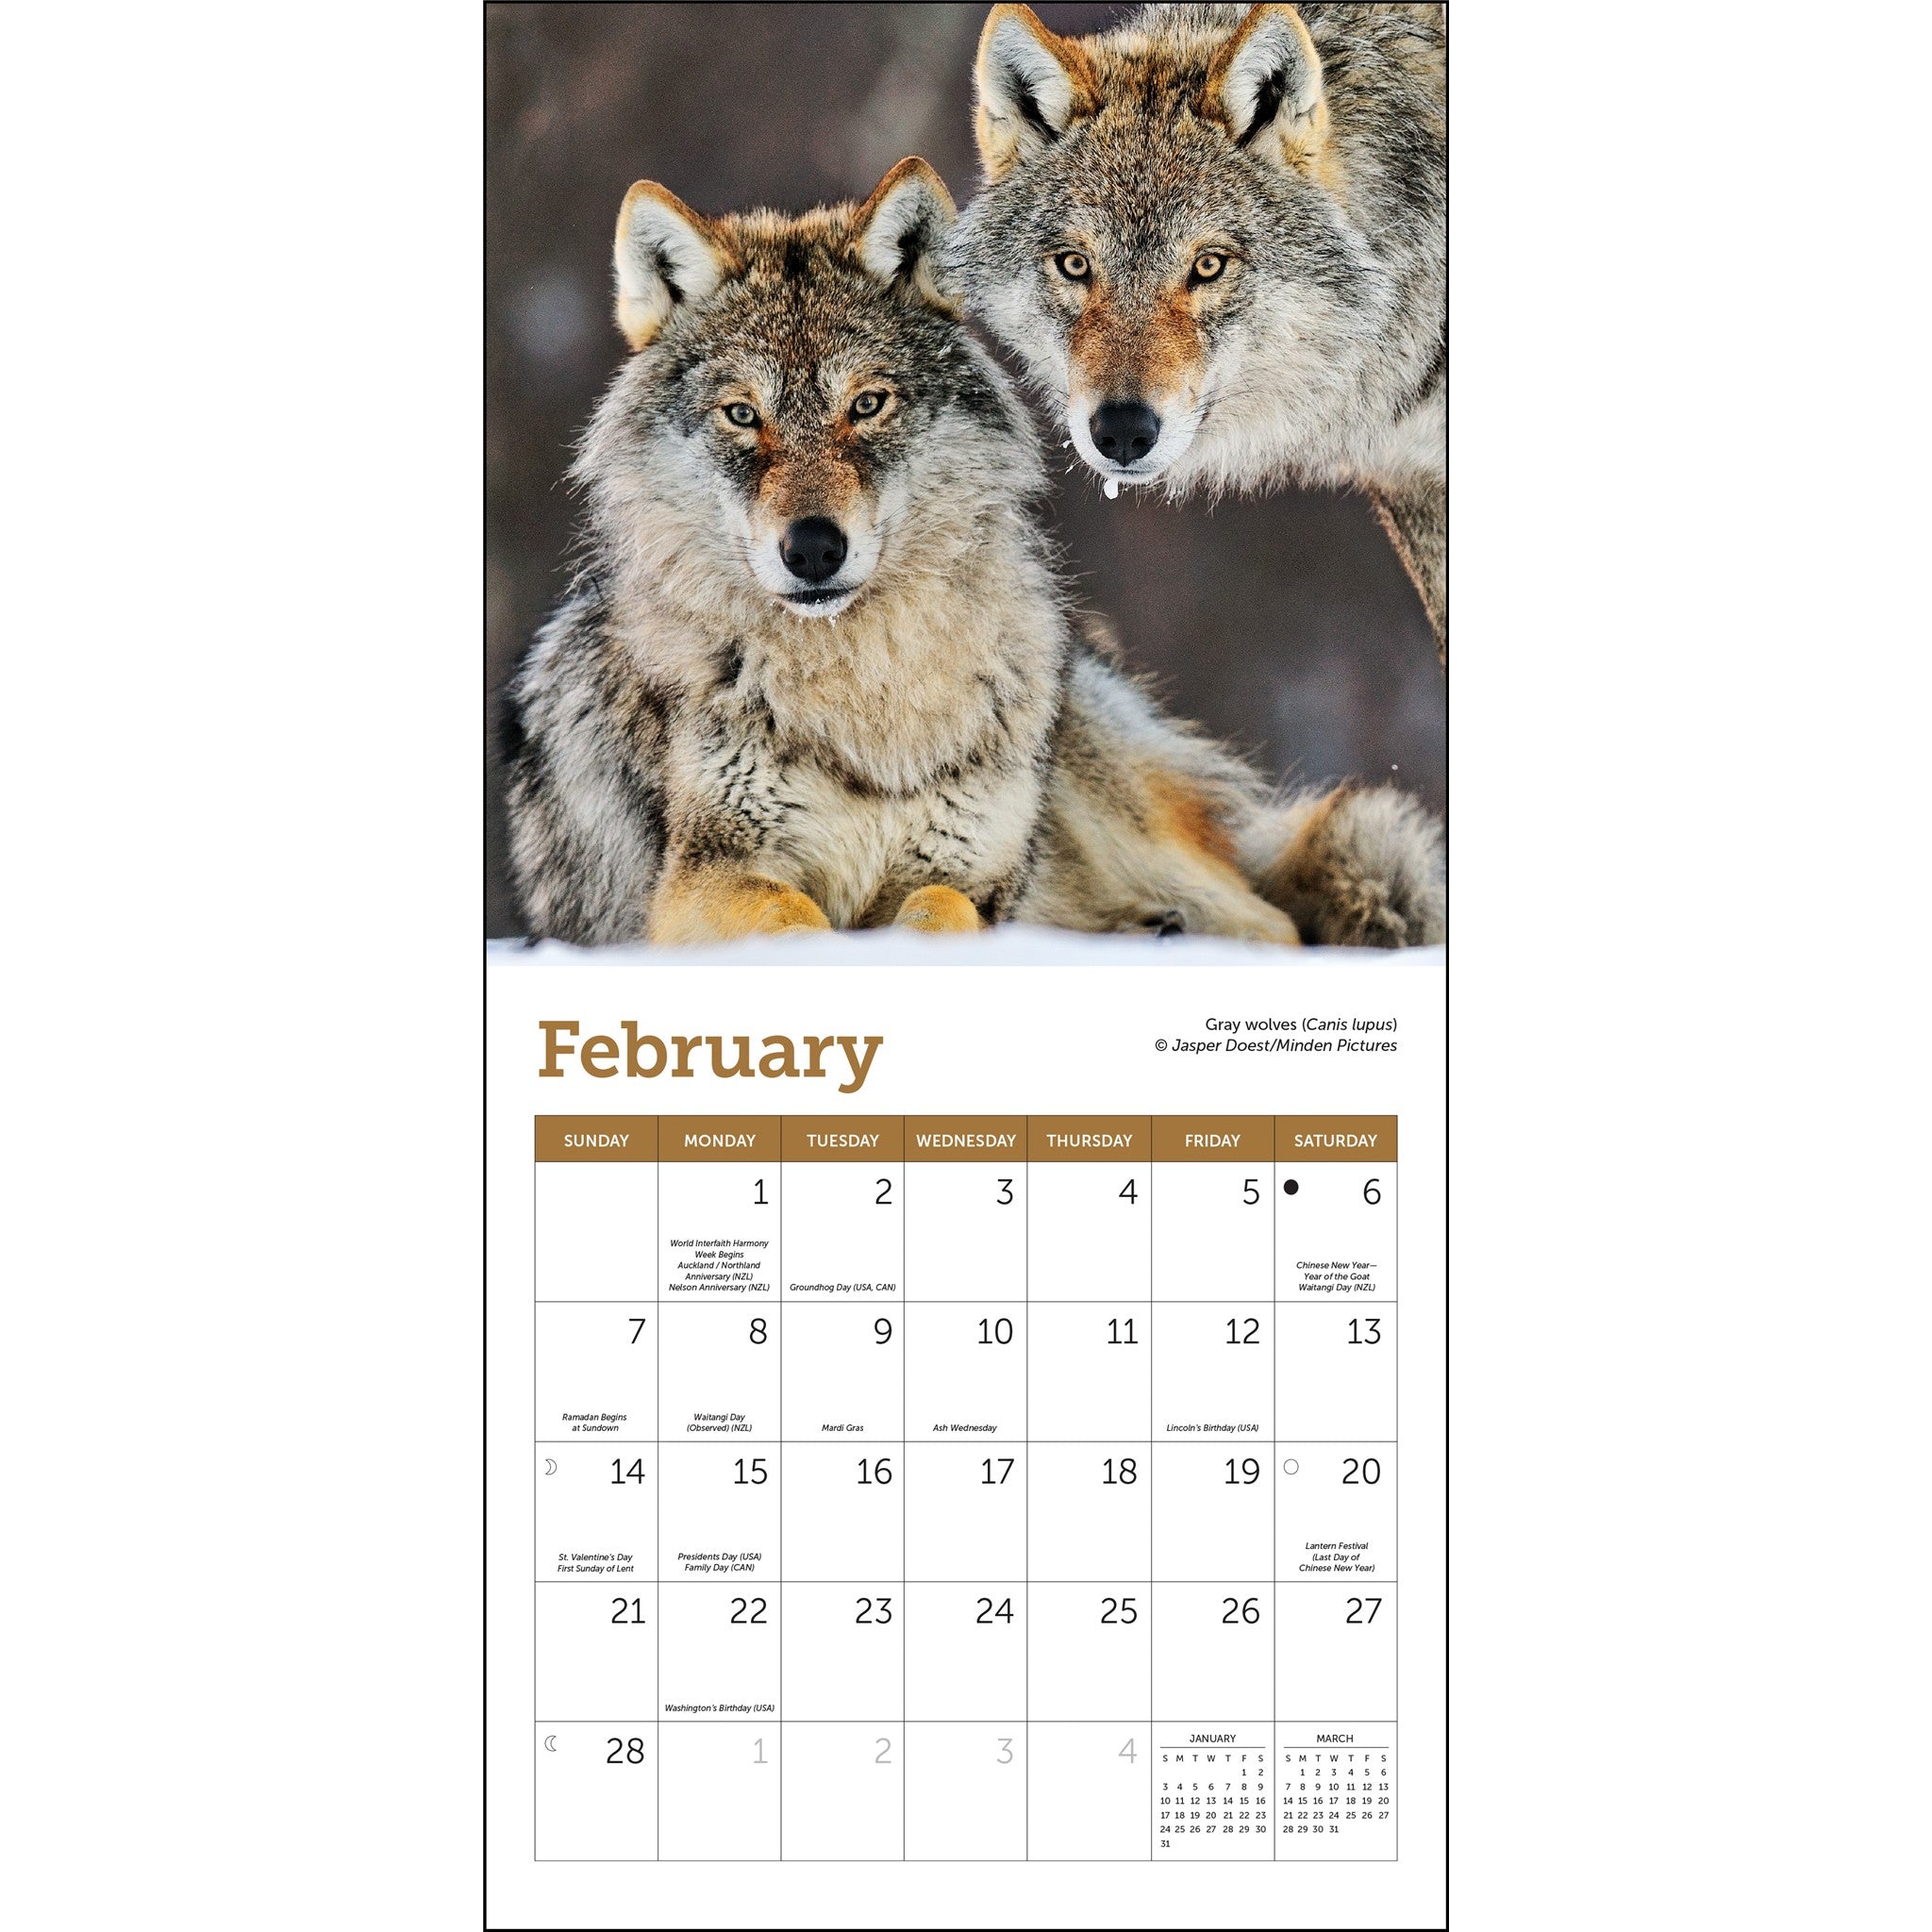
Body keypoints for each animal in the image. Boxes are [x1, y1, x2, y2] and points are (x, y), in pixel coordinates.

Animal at [500, 157, 1443, 948]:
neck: (867, 690)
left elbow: (938, 912)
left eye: (867, 405)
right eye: (742, 416)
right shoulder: (702, 882)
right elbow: (793, 917)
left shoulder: (965, 871)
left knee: (1278, 925)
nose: (813, 549)